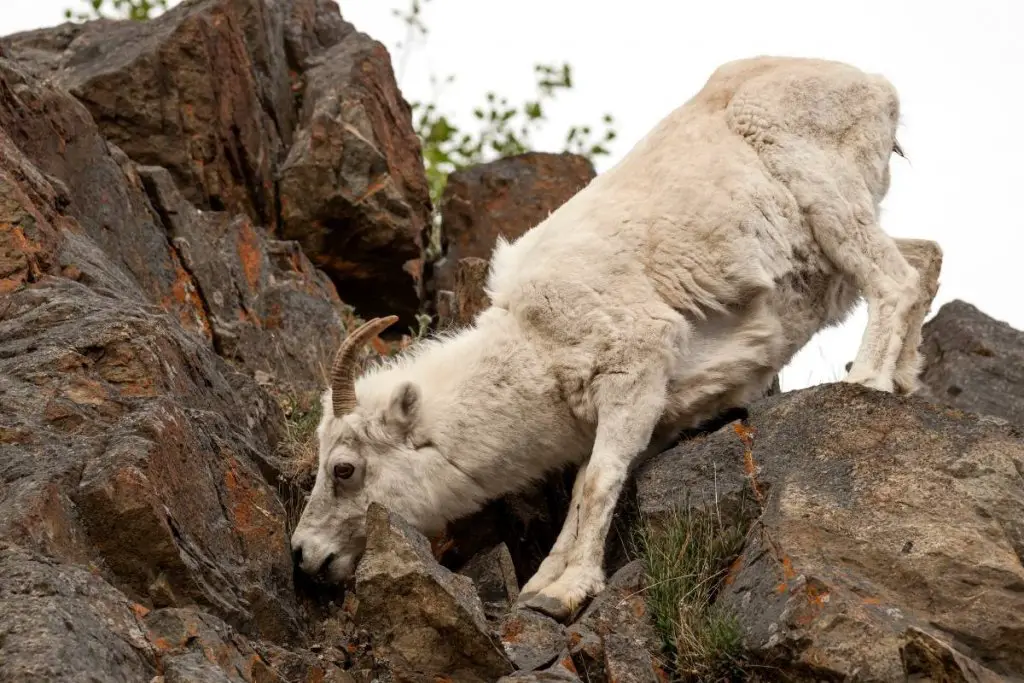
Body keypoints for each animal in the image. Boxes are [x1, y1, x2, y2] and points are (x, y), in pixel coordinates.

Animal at [288, 54, 942, 618]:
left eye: (343, 469)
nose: (305, 557)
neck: (534, 347)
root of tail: (878, 89)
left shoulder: (636, 374)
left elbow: (600, 481)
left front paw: (566, 593)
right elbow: (584, 492)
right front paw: (543, 587)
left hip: (830, 201)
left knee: (897, 279)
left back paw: (872, 382)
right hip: (832, 254)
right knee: (926, 257)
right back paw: (906, 380)